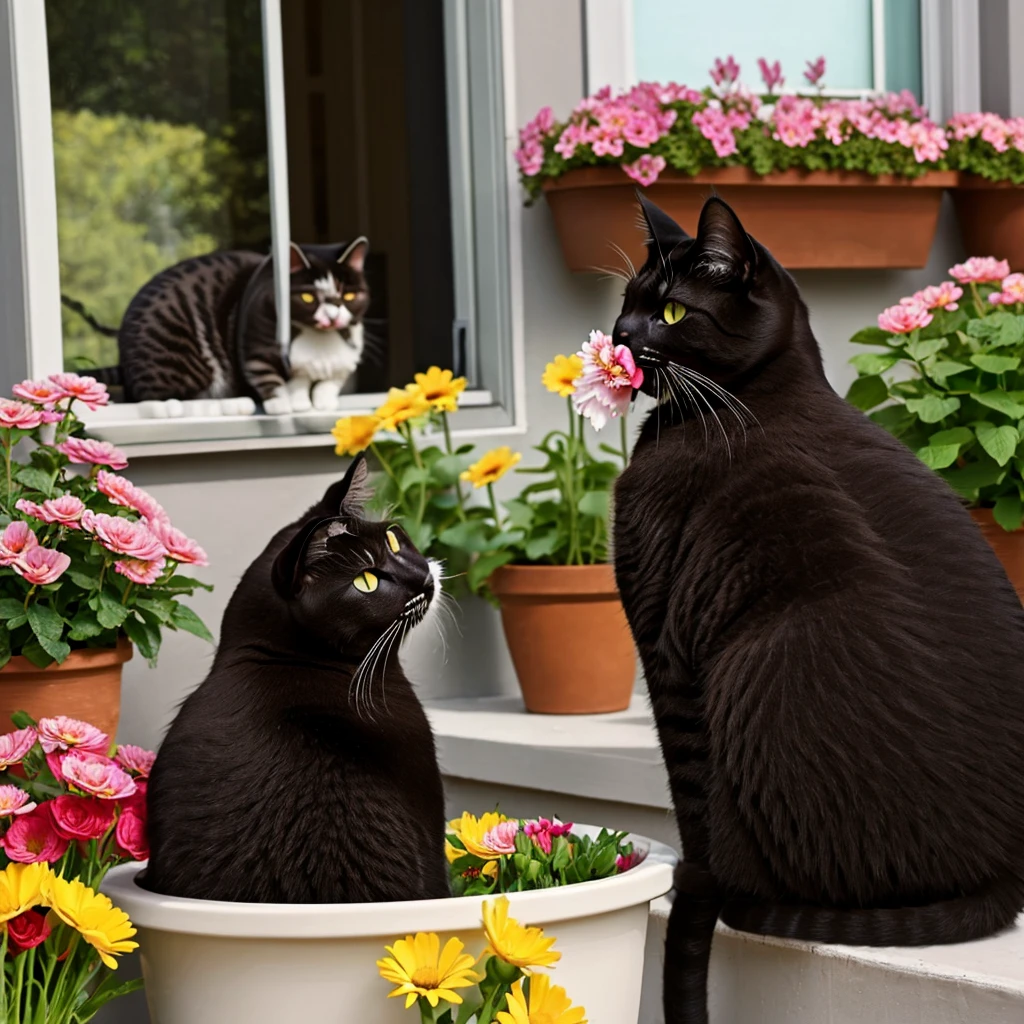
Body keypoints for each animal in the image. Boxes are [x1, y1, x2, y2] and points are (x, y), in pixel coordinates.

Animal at [80, 238, 368, 411]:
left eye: (349, 296)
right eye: (309, 297)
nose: (333, 315)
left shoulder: (344, 363)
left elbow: (329, 384)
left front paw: (323, 401)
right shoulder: (258, 351)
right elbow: (279, 383)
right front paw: (288, 403)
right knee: (158, 396)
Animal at [610, 193, 1024, 1024]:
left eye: (669, 309)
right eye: (628, 301)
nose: (620, 335)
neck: (749, 401)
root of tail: (1002, 876)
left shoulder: (667, 647)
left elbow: (687, 787)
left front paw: (695, 881)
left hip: (761, 658)